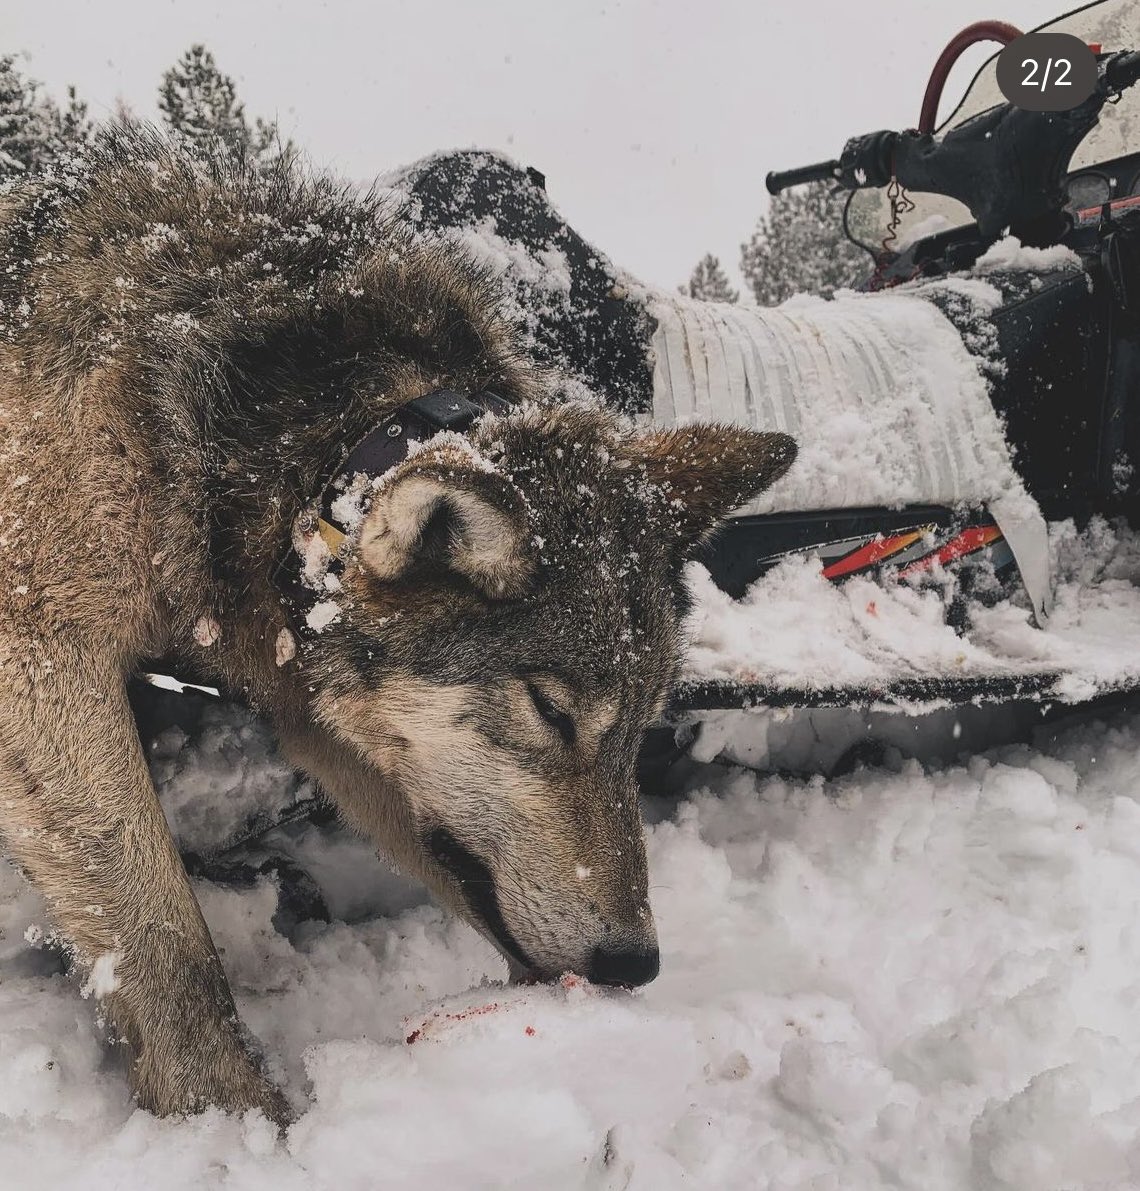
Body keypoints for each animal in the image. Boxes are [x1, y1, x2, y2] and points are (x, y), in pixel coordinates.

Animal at [0, 131, 795, 1123]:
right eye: (553, 713)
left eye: (642, 732)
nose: (635, 962)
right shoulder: (43, 653)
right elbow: (165, 937)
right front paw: (233, 1117)